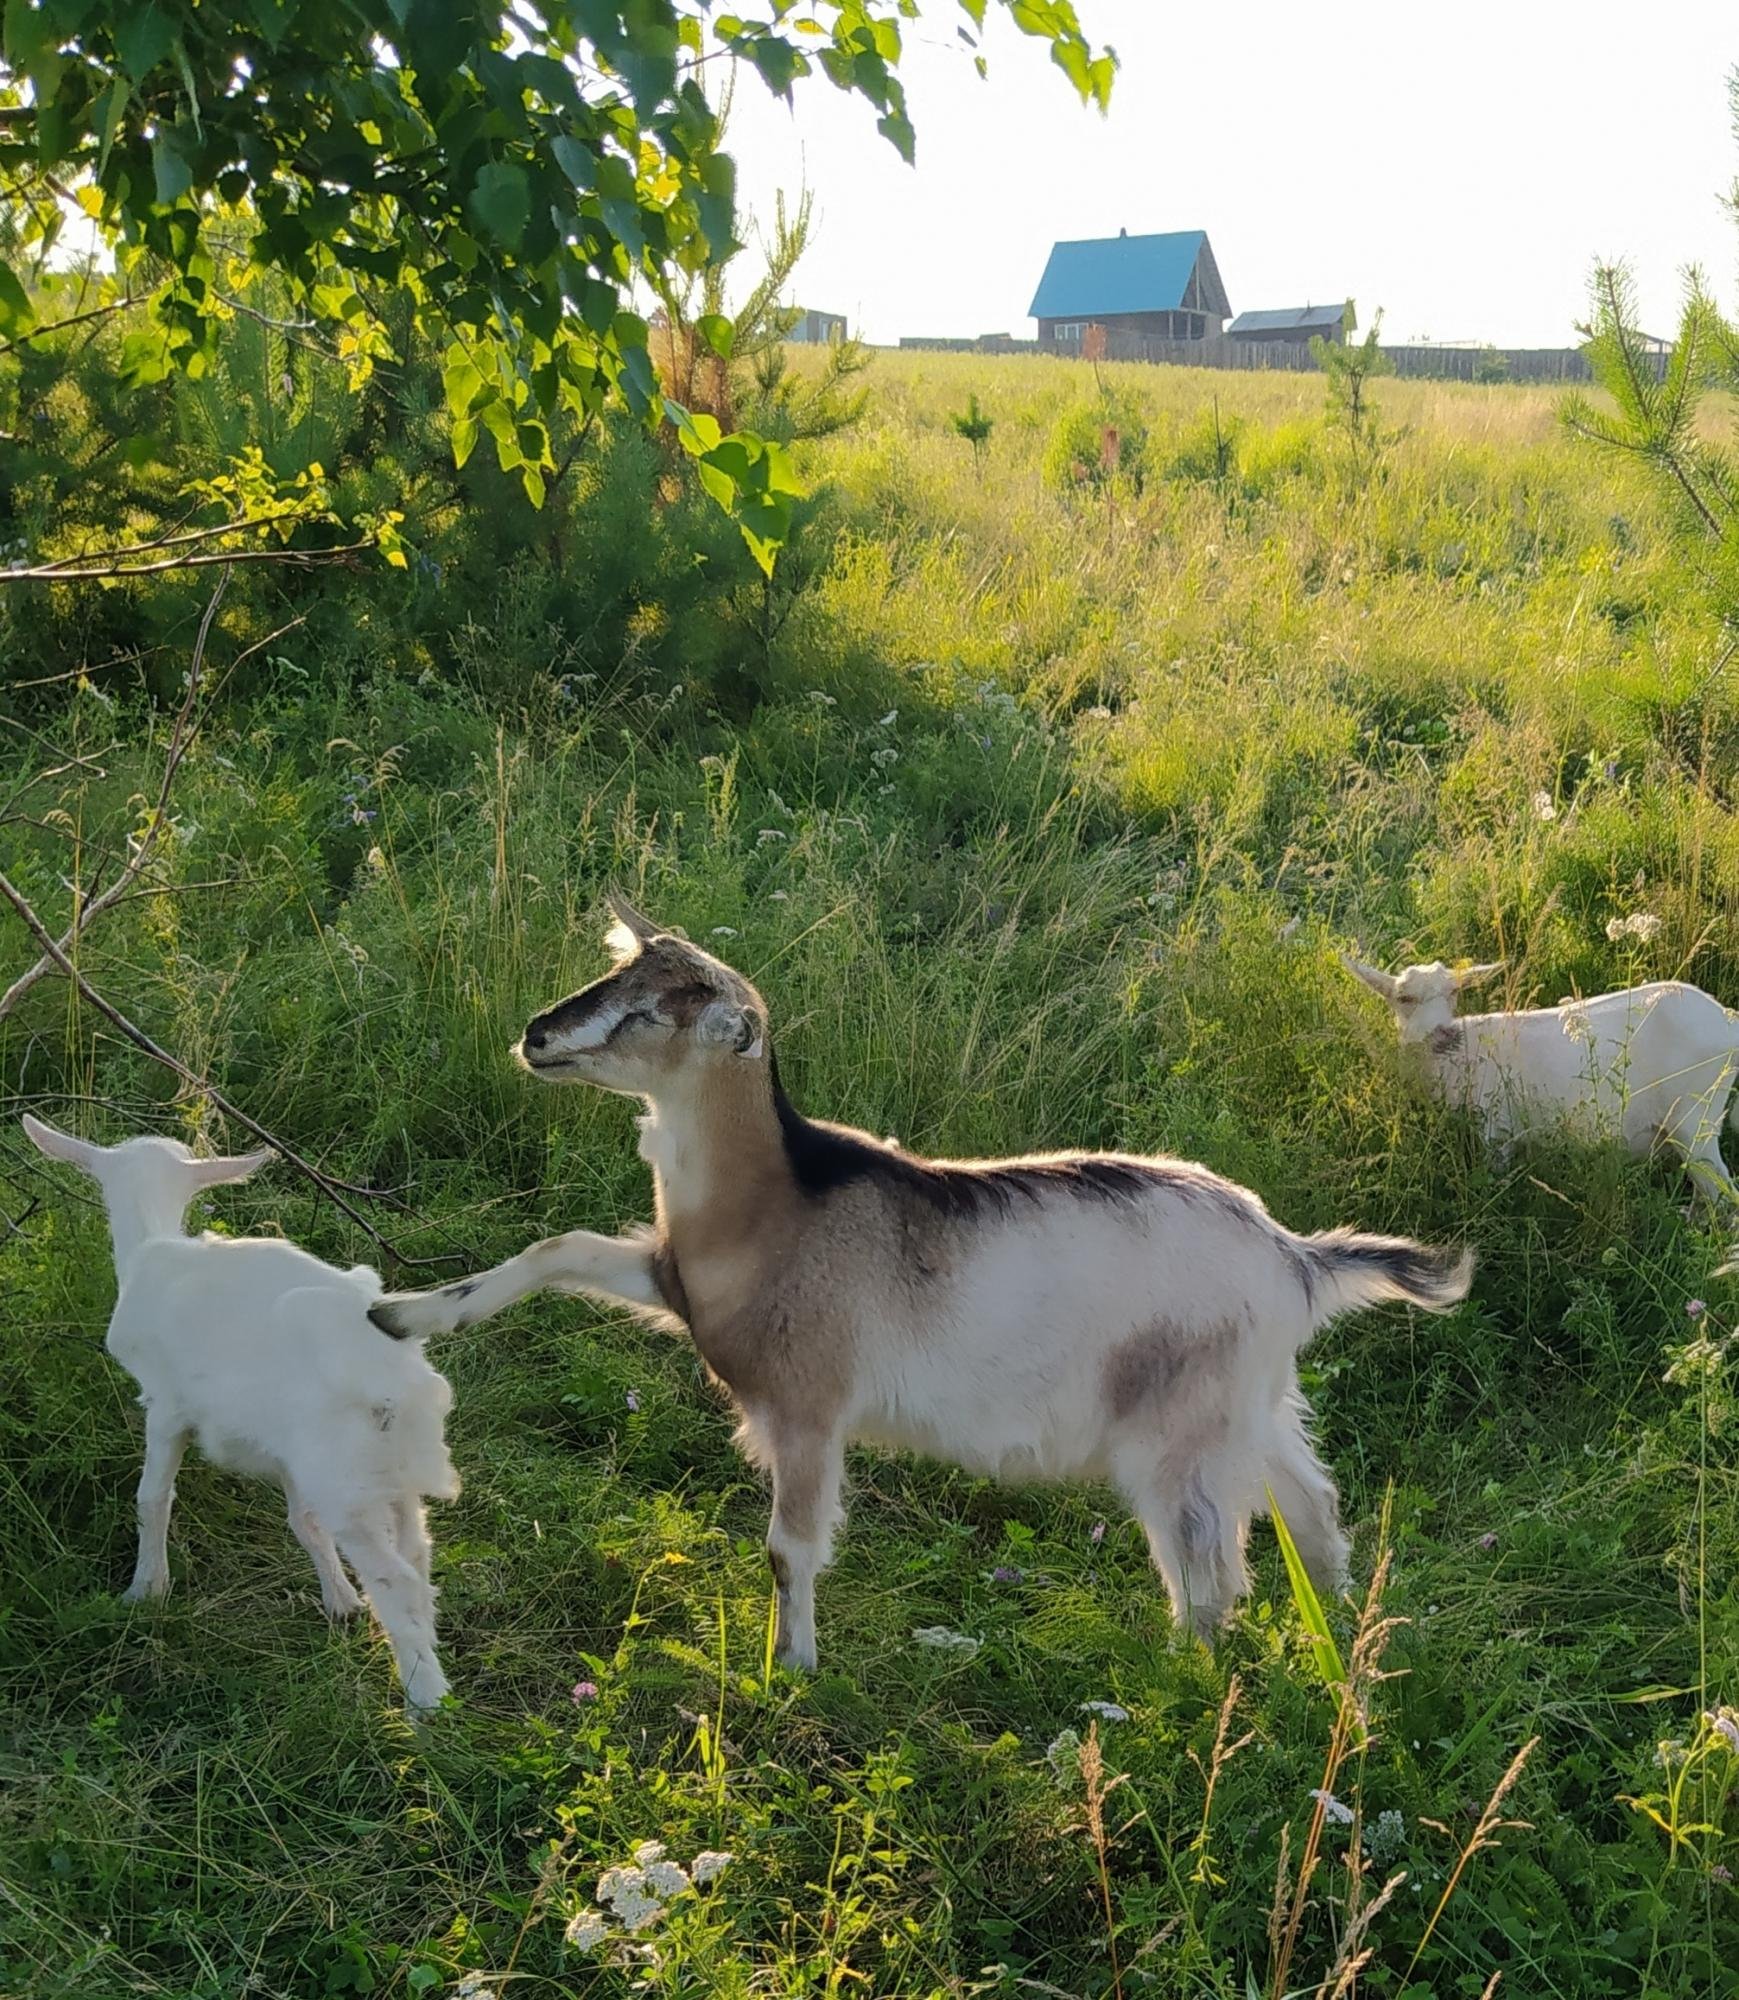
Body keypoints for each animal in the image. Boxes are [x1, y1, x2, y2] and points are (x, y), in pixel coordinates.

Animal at [373, 900, 1479, 1664]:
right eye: (613, 976)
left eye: (648, 1012)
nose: (536, 1035)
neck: (775, 1203)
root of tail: (1295, 1256)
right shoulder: (674, 1275)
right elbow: (554, 1248)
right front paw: (401, 1312)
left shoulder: (809, 1405)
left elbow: (788, 1546)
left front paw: (790, 1666)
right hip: (1252, 1404)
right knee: (1311, 1501)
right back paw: (1340, 1623)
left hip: (1180, 1436)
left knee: (1209, 1576)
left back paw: (1171, 1692)